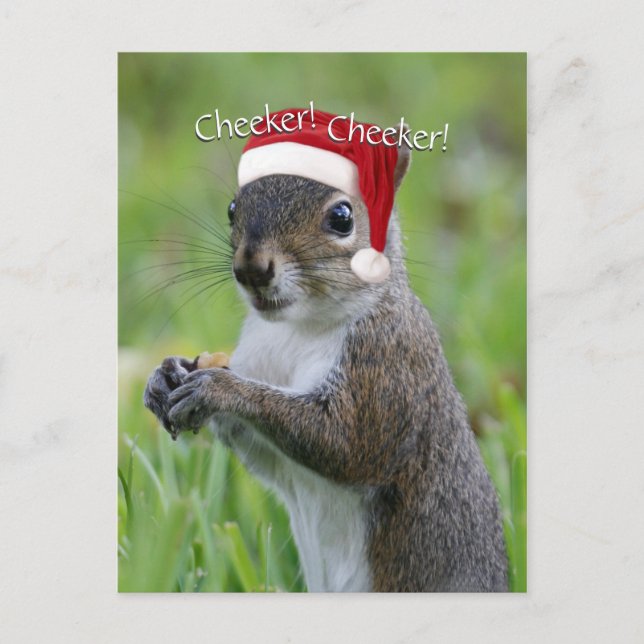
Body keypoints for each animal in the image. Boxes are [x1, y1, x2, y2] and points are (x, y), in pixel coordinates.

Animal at [143, 119, 508, 592]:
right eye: (232, 208)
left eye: (342, 217)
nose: (251, 268)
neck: (297, 329)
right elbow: (264, 454)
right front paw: (166, 375)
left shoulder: (386, 366)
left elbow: (345, 444)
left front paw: (219, 388)